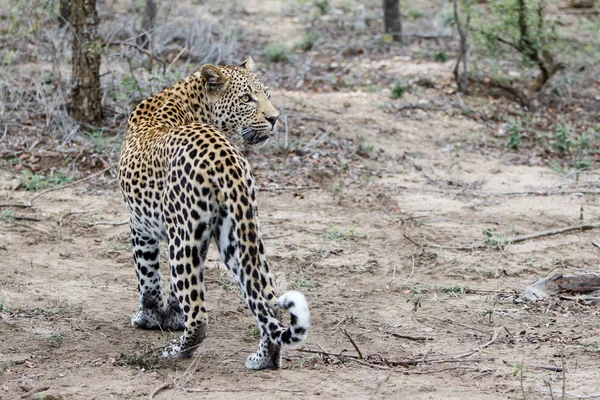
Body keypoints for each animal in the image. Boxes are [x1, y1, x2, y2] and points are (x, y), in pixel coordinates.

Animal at [119, 55, 312, 368]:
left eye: (266, 95)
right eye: (247, 98)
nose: (274, 118)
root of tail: (224, 157)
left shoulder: (140, 225)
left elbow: (147, 277)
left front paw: (148, 317)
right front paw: (172, 316)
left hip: (184, 236)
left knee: (199, 315)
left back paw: (175, 351)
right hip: (238, 234)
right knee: (268, 303)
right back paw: (264, 359)